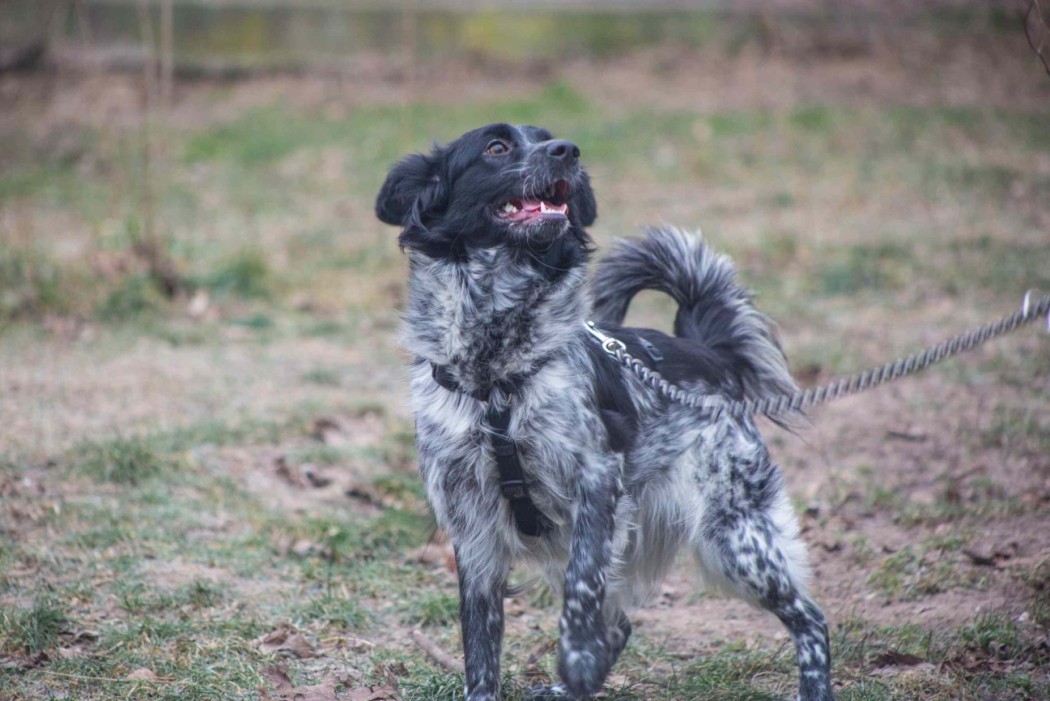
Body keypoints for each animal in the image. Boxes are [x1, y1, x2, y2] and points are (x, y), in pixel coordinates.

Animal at [376, 123, 833, 701]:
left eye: (547, 137)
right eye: (496, 147)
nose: (567, 151)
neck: (494, 371)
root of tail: (704, 352)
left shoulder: (596, 481)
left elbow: (583, 588)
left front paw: (575, 659)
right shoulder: (472, 524)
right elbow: (480, 648)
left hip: (735, 537)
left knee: (810, 620)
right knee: (619, 623)